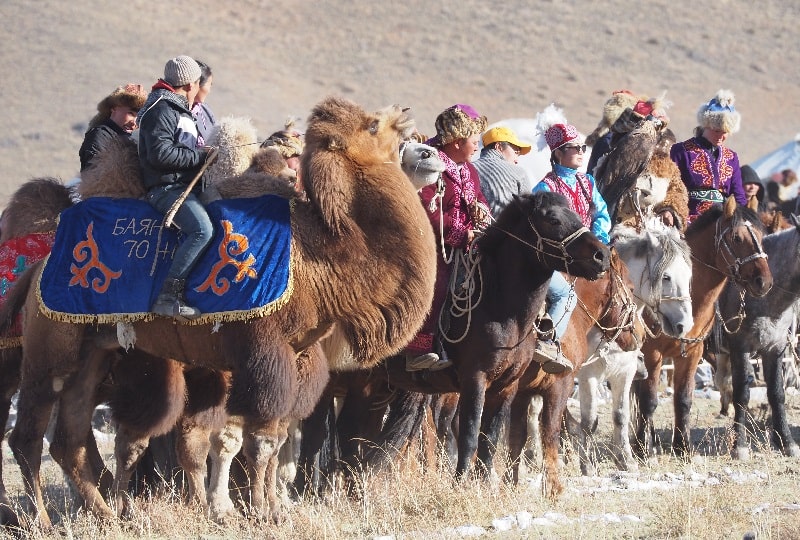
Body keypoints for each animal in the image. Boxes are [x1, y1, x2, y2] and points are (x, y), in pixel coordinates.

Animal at [1, 97, 438, 528]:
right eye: (372, 125)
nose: (421, 139)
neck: (322, 258)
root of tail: (36, 269)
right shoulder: (262, 353)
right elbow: (258, 441)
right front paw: (257, 510)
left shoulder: (296, 358)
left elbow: (276, 439)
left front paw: (271, 506)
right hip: (48, 355)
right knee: (27, 436)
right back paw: (42, 519)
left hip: (93, 356)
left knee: (69, 440)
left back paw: (107, 513)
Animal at [632, 196, 776, 458]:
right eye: (737, 238)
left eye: (762, 236)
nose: (764, 282)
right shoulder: (651, 353)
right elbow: (649, 400)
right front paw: (643, 449)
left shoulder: (692, 352)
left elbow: (683, 399)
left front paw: (682, 447)